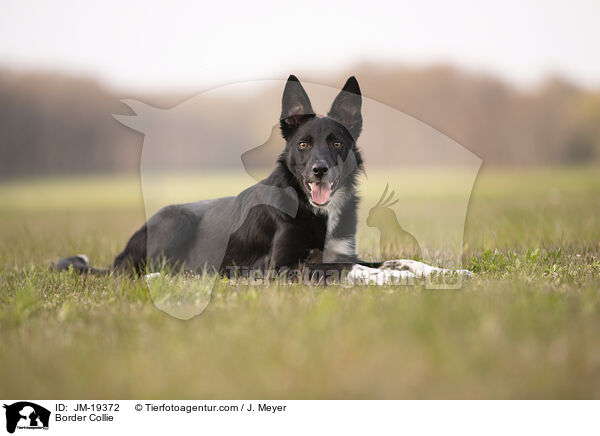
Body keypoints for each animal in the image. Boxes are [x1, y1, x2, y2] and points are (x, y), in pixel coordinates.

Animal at [56, 76, 466, 284]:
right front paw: (397, 281)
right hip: (175, 218)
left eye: (337, 142)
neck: (315, 209)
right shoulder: (280, 267)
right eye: (303, 144)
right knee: (140, 273)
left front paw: (446, 271)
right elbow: (355, 270)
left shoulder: (339, 252)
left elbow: (400, 260)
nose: (320, 170)